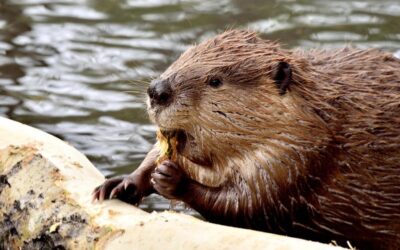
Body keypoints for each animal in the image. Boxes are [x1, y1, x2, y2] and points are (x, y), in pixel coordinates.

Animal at [92, 29, 398, 248]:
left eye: (215, 80)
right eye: (180, 59)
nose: (157, 91)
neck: (317, 114)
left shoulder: (292, 158)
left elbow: (244, 205)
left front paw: (172, 178)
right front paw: (117, 184)